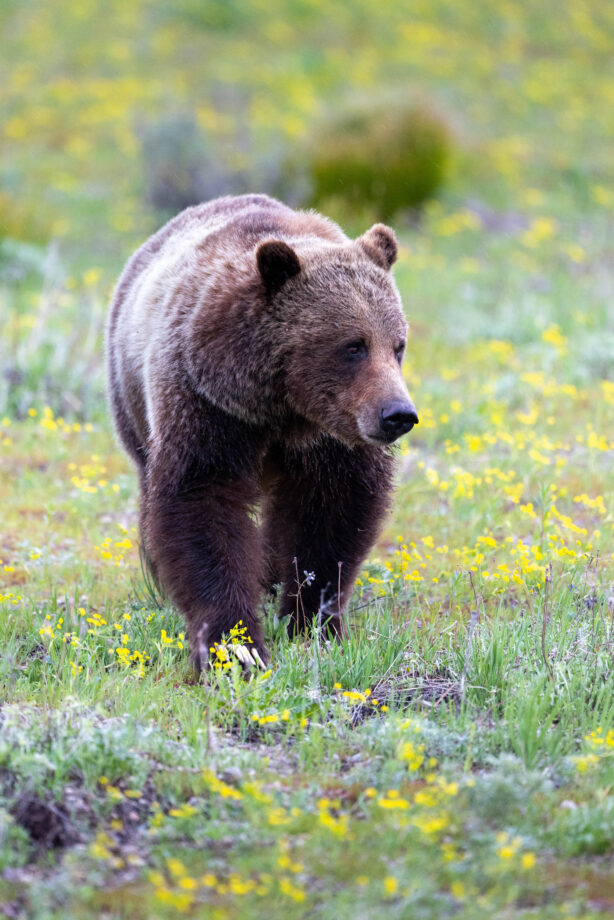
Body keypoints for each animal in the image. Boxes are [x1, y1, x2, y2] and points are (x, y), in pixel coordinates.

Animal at [106, 194, 418, 669]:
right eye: (353, 346)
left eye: (397, 345)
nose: (398, 414)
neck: (281, 408)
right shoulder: (206, 404)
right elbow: (202, 503)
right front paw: (236, 644)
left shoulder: (330, 439)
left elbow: (332, 513)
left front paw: (313, 623)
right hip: (132, 402)